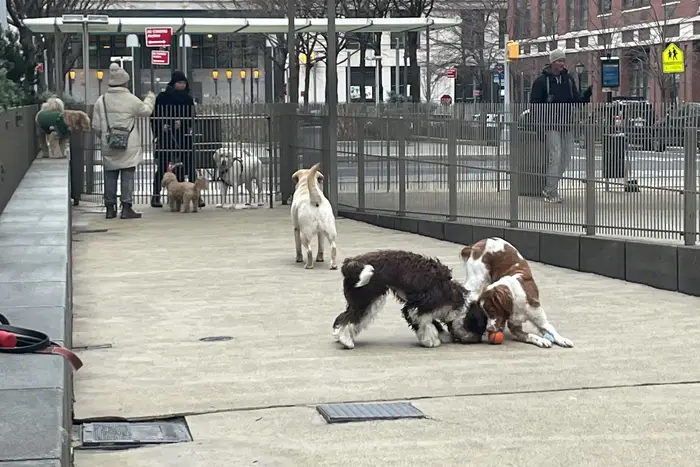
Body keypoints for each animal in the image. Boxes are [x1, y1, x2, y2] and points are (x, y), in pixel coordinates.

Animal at [334, 250, 486, 350]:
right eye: (479, 327)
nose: (477, 340)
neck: (450, 294)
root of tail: (351, 262)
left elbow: (432, 321)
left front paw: (442, 335)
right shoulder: (416, 307)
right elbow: (425, 324)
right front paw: (431, 340)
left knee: (343, 317)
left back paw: (341, 336)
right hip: (366, 299)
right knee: (348, 319)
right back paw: (346, 340)